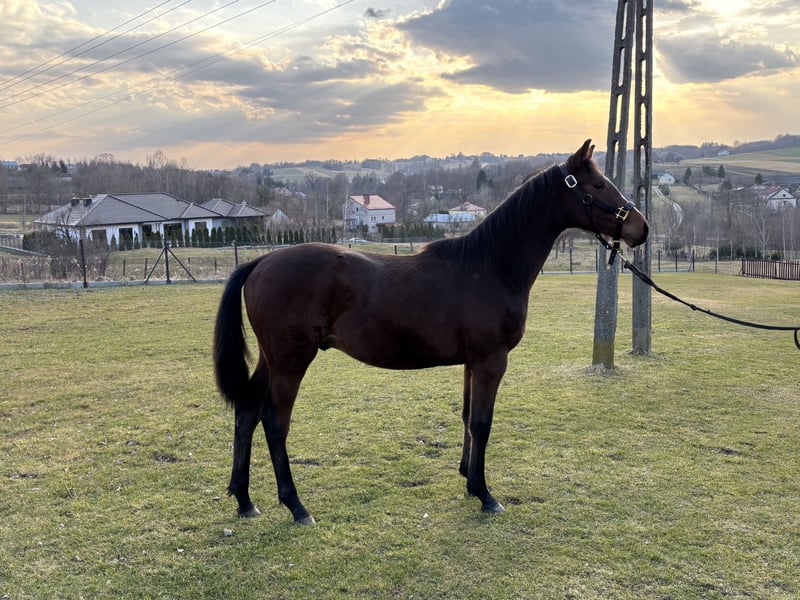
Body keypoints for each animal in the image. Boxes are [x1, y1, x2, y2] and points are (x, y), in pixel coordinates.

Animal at [213, 139, 649, 524]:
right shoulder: (491, 361)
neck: (489, 267)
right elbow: (482, 423)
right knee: (274, 423)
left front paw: (469, 479)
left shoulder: (473, 362)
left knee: (247, 413)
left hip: (271, 360)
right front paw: (486, 495)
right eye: (598, 186)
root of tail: (261, 262)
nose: (640, 228)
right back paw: (296, 506)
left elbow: (467, 416)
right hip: (291, 362)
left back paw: (245, 501)